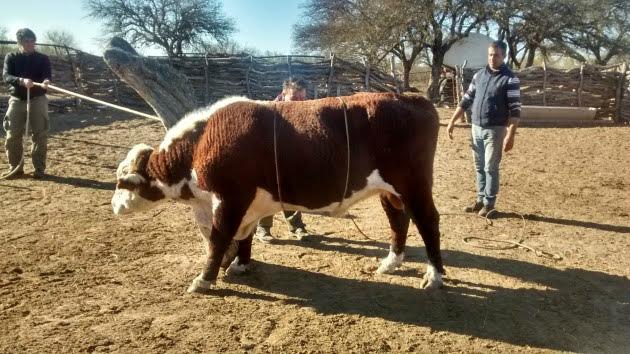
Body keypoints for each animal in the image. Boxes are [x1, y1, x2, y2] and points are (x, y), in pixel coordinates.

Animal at [112, 92, 444, 294]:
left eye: (121, 182)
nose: (114, 206)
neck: (202, 142)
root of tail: (411, 97)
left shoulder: (230, 198)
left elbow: (218, 240)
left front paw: (204, 280)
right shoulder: (247, 205)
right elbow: (244, 236)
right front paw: (241, 264)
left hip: (413, 185)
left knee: (428, 222)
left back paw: (434, 276)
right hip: (389, 191)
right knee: (398, 220)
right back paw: (391, 263)